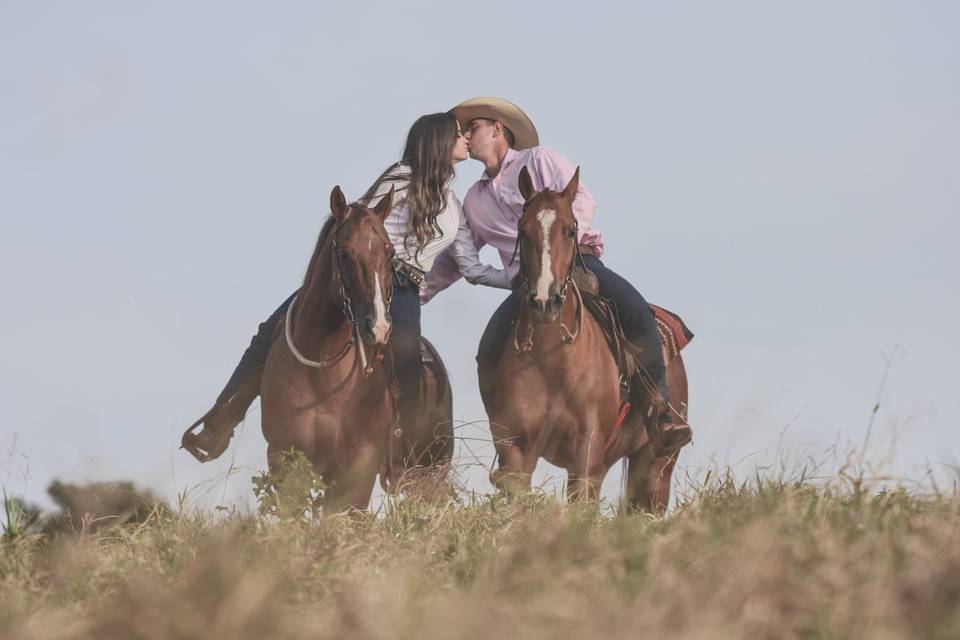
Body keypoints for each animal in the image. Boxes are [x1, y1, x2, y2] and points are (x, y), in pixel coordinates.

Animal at [260, 185, 456, 516]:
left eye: (389, 252)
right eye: (344, 253)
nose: (377, 326)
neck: (322, 372)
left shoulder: (358, 468)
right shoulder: (284, 462)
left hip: (431, 470)